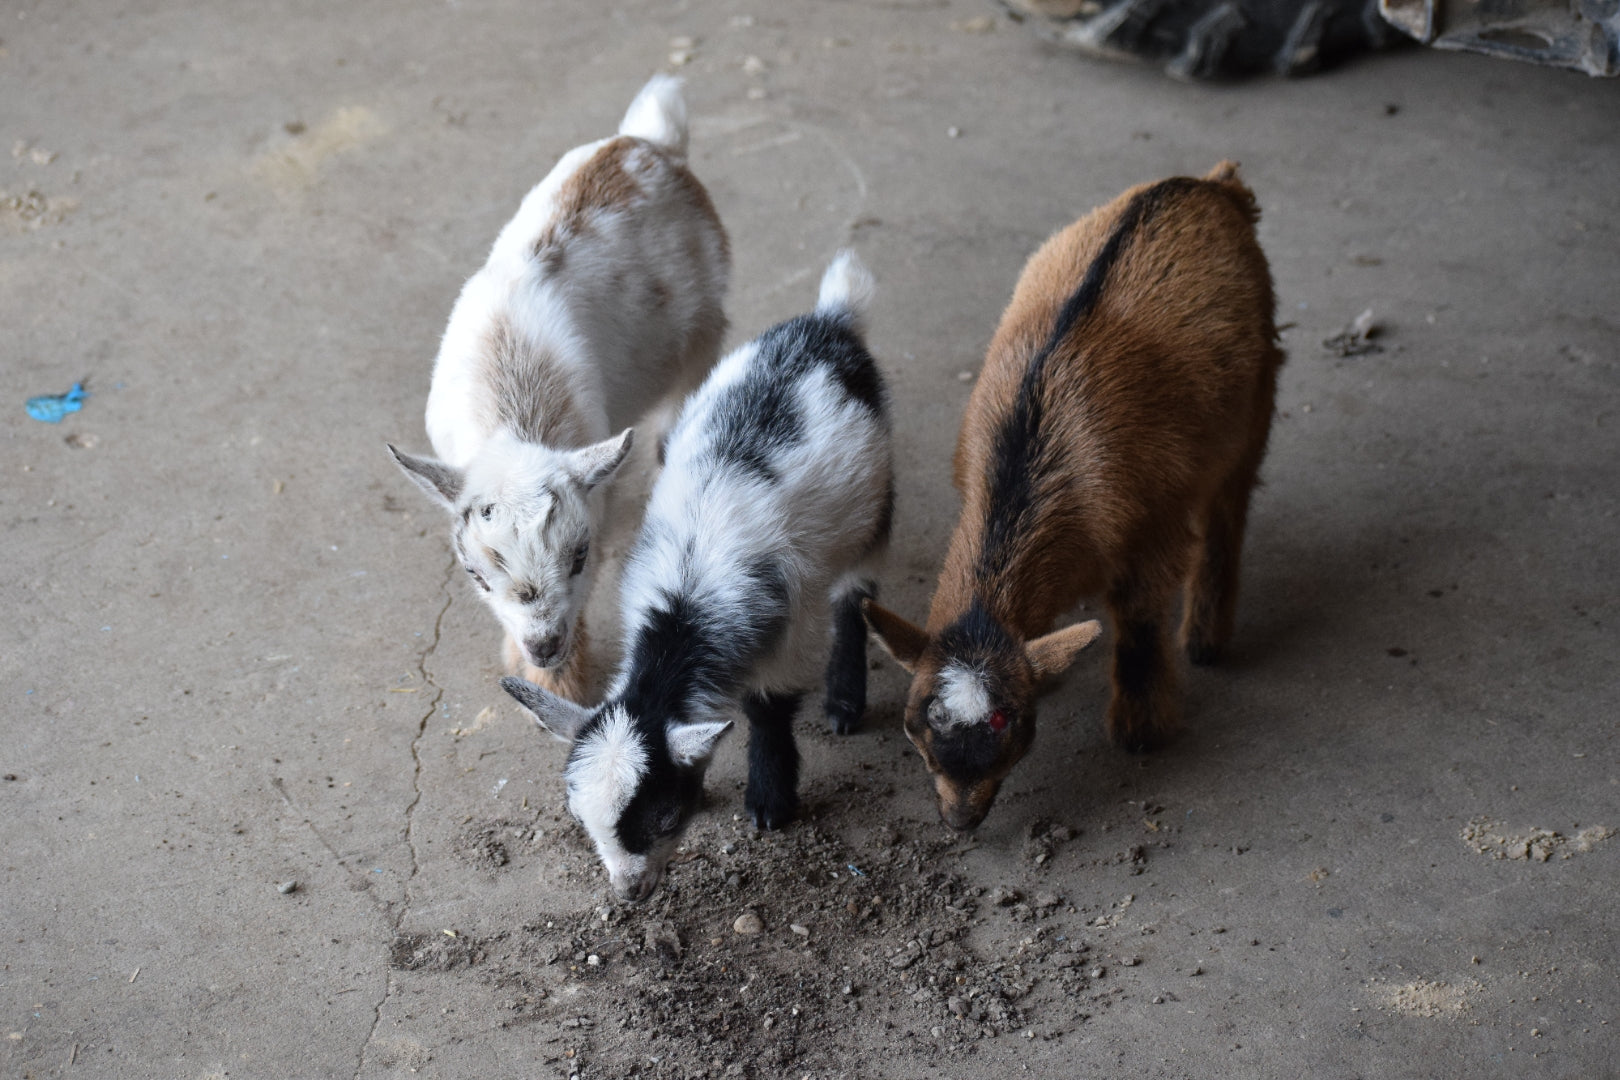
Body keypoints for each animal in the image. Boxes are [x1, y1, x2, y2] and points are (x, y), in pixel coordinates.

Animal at [389, 75, 730, 703]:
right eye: (475, 574)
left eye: (579, 556)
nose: (544, 646)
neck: (515, 405)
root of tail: (647, 142)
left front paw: (563, 684)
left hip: (703, 328)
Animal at [502, 252, 893, 901]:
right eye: (579, 818)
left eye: (661, 816)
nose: (628, 893)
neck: (684, 608)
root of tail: (828, 321)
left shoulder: (792, 626)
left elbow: (769, 707)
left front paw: (770, 801)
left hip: (874, 507)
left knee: (855, 593)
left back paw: (843, 701)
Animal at [864, 163, 1283, 831]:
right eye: (916, 726)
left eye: (1010, 722)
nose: (960, 820)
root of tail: (1208, 185)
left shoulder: (1153, 525)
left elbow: (1139, 617)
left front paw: (1141, 727)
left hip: (1259, 392)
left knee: (1228, 511)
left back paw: (1205, 640)